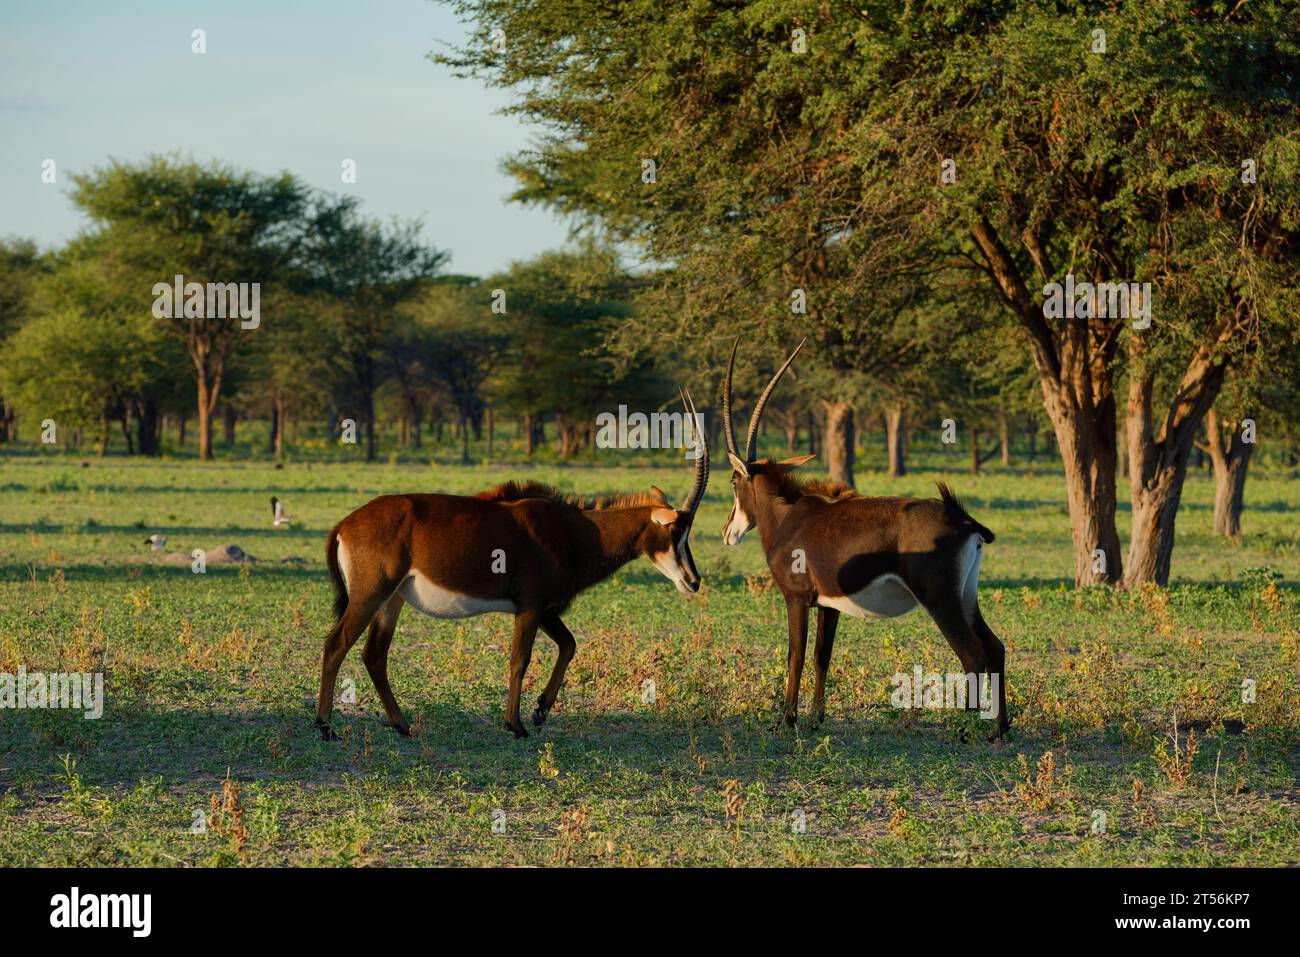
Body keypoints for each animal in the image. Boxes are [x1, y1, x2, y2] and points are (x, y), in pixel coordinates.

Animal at [315, 390, 712, 738]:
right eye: (677, 531)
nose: (693, 581)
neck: (573, 531)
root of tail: (344, 525)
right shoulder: (531, 606)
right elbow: (520, 659)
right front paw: (516, 724)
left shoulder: (544, 608)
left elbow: (569, 645)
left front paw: (541, 710)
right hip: (370, 594)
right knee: (336, 645)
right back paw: (325, 727)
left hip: (392, 600)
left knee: (374, 655)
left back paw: (401, 725)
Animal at [722, 340, 1003, 738]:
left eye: (734, 481)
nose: (728, 532)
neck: (788, 516)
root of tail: (961, 517)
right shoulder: (828, 604)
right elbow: (822, 656)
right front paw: (816, 717)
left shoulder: (796, 598)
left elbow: (796, 655)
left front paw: (788, 720)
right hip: (966, 596)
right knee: (995, 649)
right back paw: (1002, 728)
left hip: (941, 599)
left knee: (973, 655)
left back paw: (971, 731)